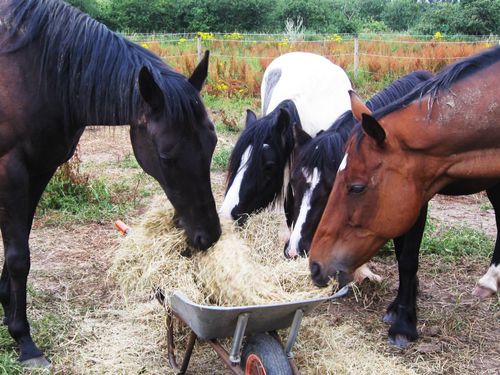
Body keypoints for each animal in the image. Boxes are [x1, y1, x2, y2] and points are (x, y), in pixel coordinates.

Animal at [0, 0, 221, 366]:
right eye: (166, 156)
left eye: (213, 143)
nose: (209, 236)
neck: (38, 72)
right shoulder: (11, 169)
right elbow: (19, 256)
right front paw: (25, 342)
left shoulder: (39, 169)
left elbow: (18, 248)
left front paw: (8, 315)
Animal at [310, 46, 498, 346]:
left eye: (357, 187)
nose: (315, 266)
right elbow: (402, 254)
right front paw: (398, 308)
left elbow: (408, 258)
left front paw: (404, 323)